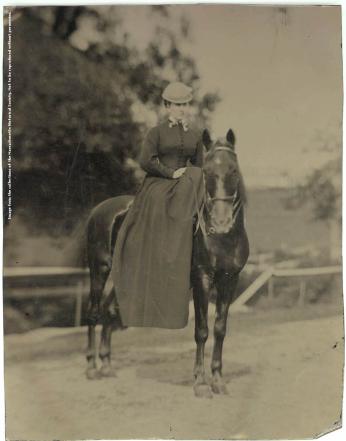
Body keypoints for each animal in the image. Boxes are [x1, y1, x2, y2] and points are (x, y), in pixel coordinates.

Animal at [84, 128, 249, 398]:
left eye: (233, 170)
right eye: (206, 172)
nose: (221, 222)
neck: (222, 239)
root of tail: (100, 209)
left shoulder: (229, 280)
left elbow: (220, 329)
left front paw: (218, 380)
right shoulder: (202, 279)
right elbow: (202, 331)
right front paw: (200, 383)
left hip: (124, 276)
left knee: (109, 311)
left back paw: (106, 364)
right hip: (99, 270)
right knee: (94, 312)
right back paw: (91, 367)